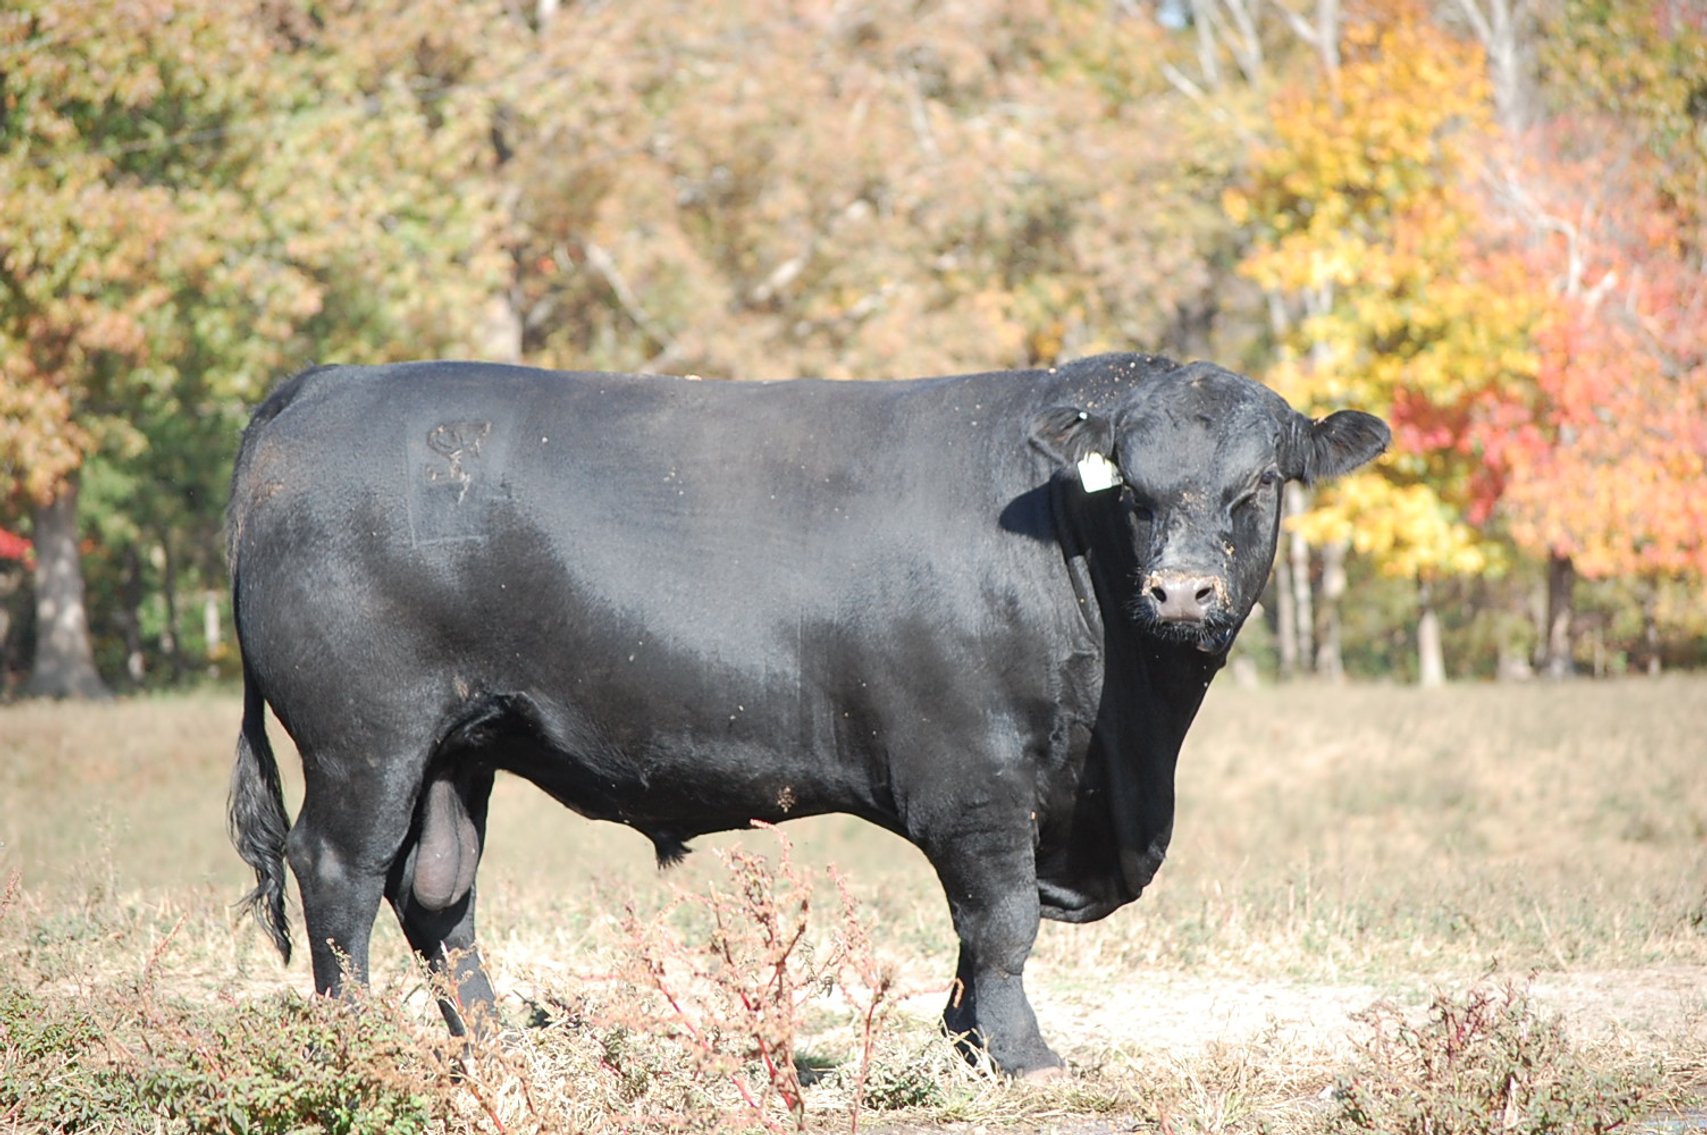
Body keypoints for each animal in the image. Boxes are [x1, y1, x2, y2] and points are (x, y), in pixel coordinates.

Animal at [227, 352, 1387, 1076]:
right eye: (1134, 492)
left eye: (1257, 485)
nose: (1181, 592)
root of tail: (332, 382)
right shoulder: (975, 778)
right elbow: (1000, 921)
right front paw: (1025, 1059)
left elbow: (974, 936)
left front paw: (966, 1043)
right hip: (364, 737)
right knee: (339, 872)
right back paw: (360, 1044)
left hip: (458, 743)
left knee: (436, 889)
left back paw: (494, 1045)